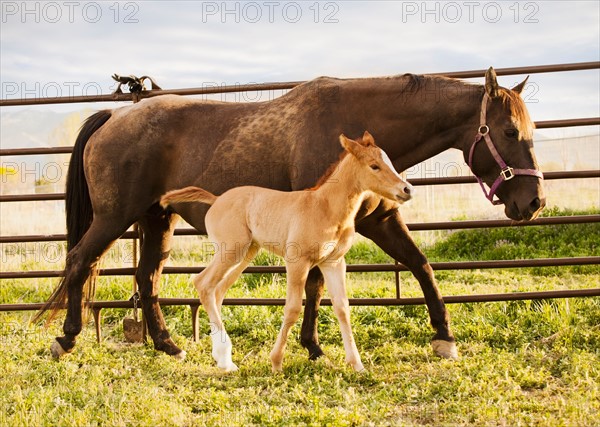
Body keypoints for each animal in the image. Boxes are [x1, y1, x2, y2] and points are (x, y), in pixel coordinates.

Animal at [37, 67, 544, 362]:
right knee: (80, 262)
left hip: (156, 221)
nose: (533, 202)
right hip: (112, 217)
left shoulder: (378, 220)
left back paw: (167, 344)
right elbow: (314, 286)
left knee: (148, 276)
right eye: (508, 130)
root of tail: (113, 116)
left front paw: (444, 337)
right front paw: (312, 346)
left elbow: (421, 266)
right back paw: (66, 339)